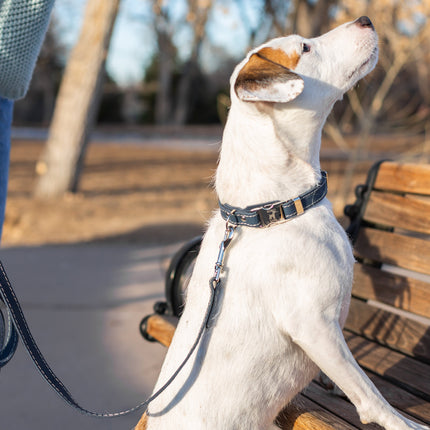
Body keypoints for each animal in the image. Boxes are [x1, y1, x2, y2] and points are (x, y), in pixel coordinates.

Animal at [146, 16, 428, 430]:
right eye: (305, 48)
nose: (365, 19)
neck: (273, 209)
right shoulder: (314, 323)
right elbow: (368, 392)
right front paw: (401, 422)